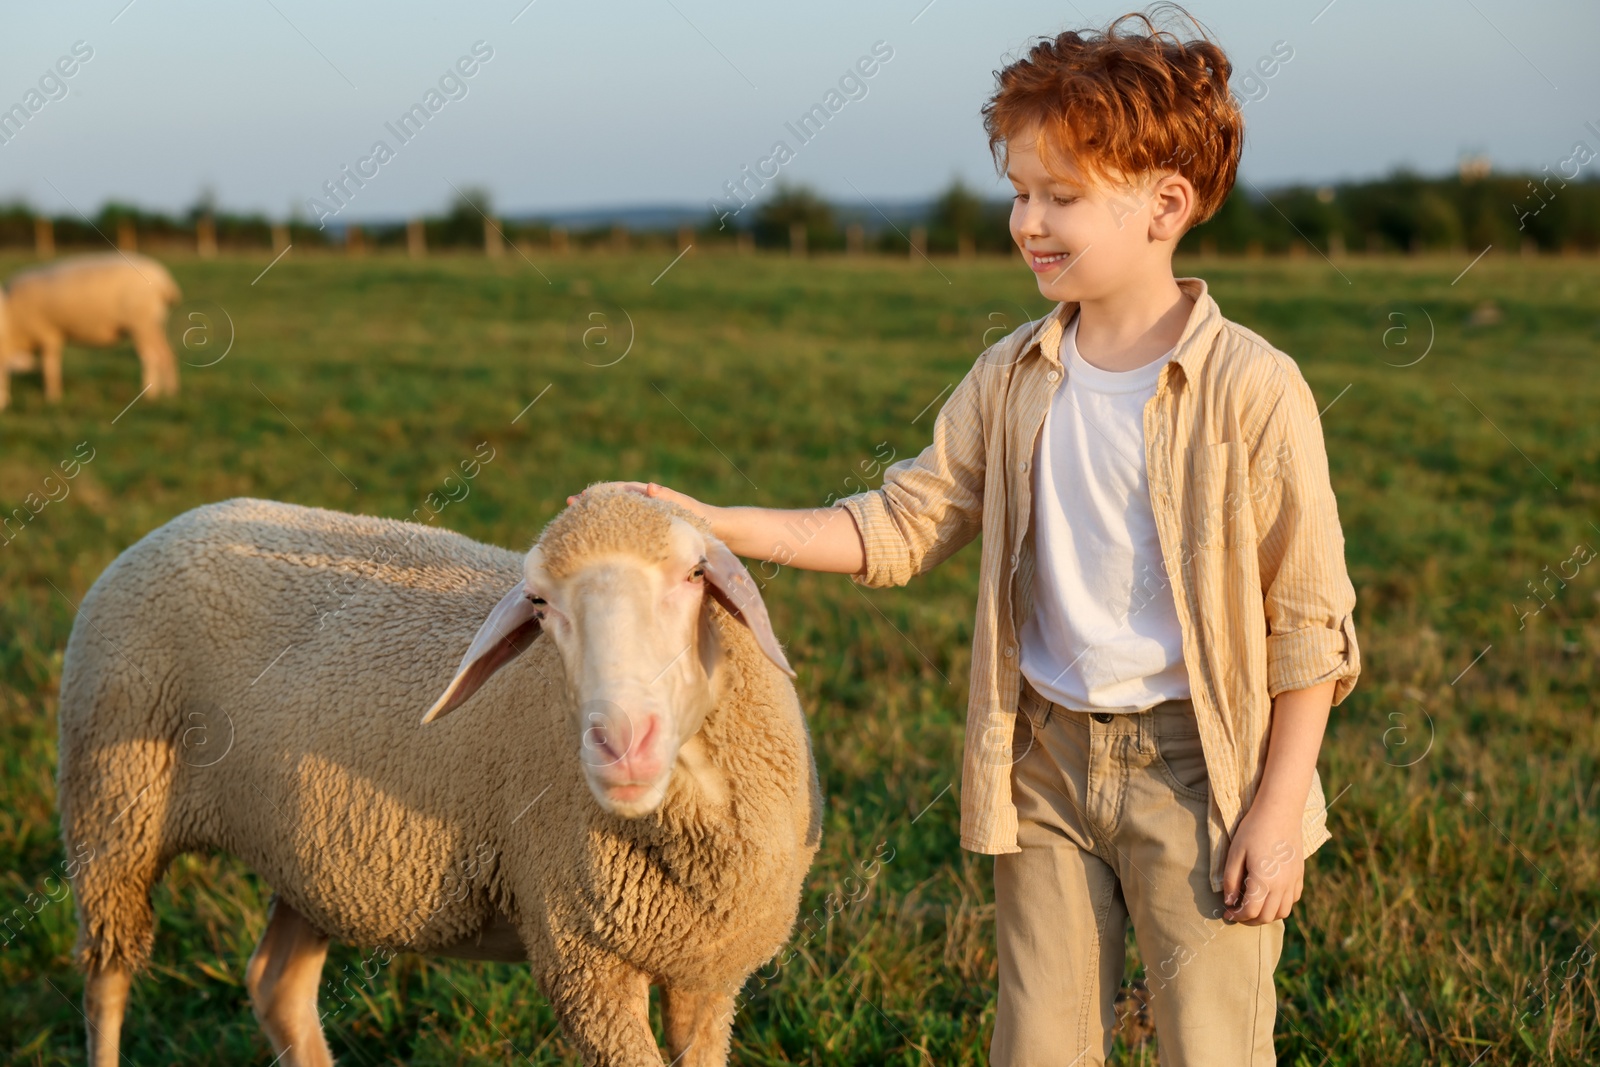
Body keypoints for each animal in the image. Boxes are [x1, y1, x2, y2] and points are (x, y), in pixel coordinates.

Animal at [2, 252, 181, 412]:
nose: (3, 407)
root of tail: (164, 281)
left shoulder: (48, 335)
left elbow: (50, 369)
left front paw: (53, 398)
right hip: (154, 325)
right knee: (166, 354)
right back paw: (170, 391)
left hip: (141, 324)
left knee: (151, 357)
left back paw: (150, 394)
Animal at [56, 489, 825, 1062]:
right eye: (540, 602)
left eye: (695, 575)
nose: (621, 744)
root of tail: (181, 520)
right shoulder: (585, 967)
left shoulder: (708, 974)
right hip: (113, 807)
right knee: (106, 979)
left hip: (306, 854)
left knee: (276, 984)